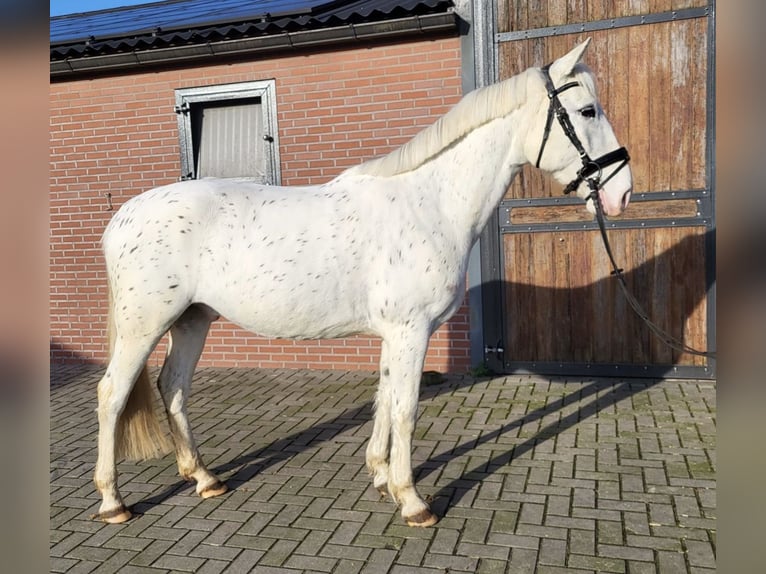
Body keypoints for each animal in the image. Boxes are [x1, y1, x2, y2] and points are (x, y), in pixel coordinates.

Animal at [94, 39, 632, 528]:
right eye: (587, 110)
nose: (623, 193)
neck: (429, 202)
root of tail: (123, 217)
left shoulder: (398, 334)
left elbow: (385, 398)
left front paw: (379, 476)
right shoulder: (411, 331)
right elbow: (406, 409)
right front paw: (412, 502)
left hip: (192, 320)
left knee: (173, 387)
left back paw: (205, 479)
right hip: (145, 325)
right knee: (113, 394)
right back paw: (114, 503)